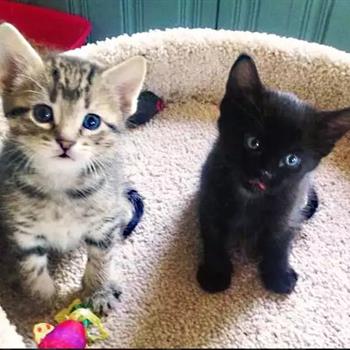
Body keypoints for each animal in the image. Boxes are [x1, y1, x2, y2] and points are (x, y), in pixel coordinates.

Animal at [0, 24, 146, 314]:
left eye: (92, 121)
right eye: (42, 114)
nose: (65, 142)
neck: (61, 184)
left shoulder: (104, 223)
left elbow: (101, 257)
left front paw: (98, 290)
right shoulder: (23, 231)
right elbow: (32, 267)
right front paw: (43, 303)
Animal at [197, 54, 350, 294]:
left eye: (291, 159)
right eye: (253, 142)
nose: (265, 172)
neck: (249, 200)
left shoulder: (287, 213)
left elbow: (280, 243)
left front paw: (279, 276)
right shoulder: (209, 200)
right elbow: (213, 237)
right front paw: (216, 273)